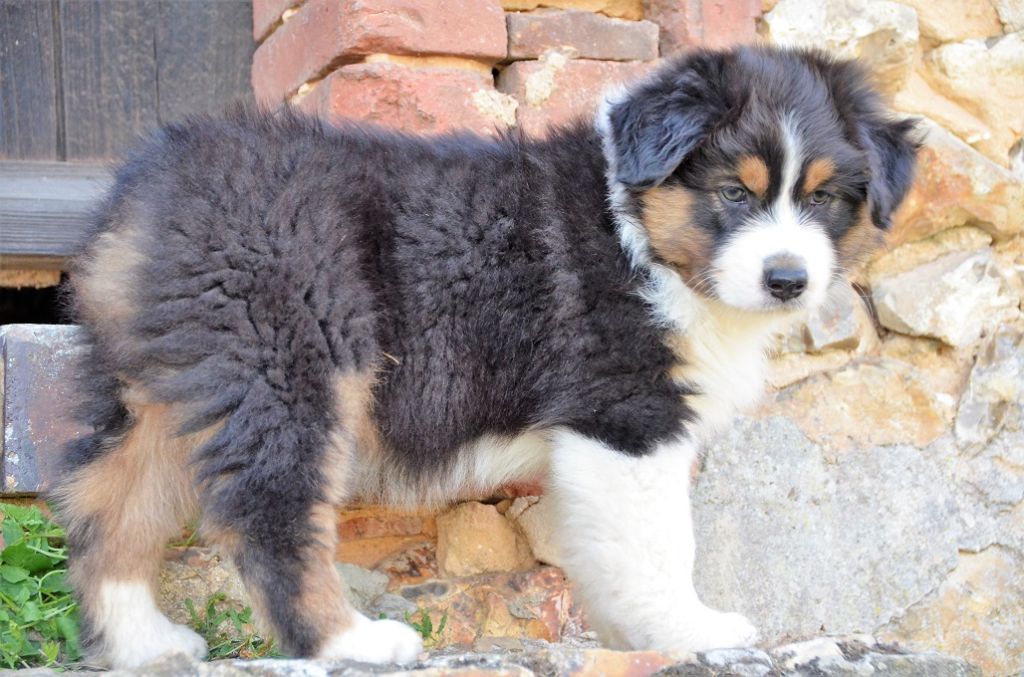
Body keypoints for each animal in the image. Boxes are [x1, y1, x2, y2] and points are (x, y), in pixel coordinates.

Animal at [54, 45, 917, 668]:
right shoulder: (627, 413)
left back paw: (142, 644)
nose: (788, 279)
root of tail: (153, 185)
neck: (641, 234)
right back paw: (352, 642)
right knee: (271, 514)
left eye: (823, 198)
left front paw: (632, 638)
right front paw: (693, 632)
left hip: (163, 382)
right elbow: (660, 541)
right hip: (289, 362)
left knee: (107, 505)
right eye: (734, 194)